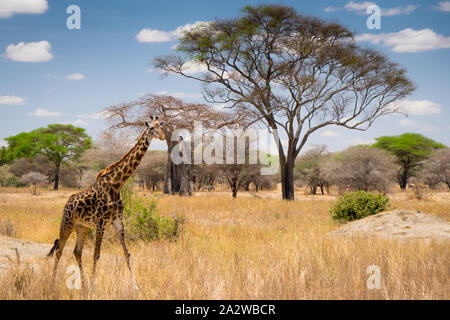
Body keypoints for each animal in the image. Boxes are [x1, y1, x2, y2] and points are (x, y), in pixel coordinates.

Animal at [47, 117, 165, 290]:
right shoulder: (101, 222)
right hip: (67, 223)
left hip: (82, 227)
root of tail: (67, 203)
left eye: (161, 126)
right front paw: (94, 286)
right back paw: (53, 283)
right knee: (59, 250)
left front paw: (135, 286)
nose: (162, 136)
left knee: (77, 251)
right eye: (151, 128)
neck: (116, 184)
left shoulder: (117, 220)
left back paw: (83, 285)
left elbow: (126, 252)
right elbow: (96, 254)